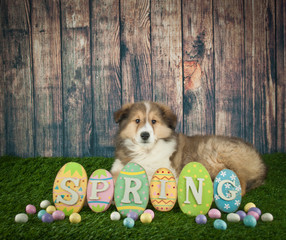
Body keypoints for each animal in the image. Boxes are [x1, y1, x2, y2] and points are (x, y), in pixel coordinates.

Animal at [110, 101, 268, 195]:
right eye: (137, 120)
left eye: (154, 121)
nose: (145, 135)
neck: (145, 151)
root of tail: (261, 165)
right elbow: (114, 173)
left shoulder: (165, 170)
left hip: (216, 154)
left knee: (240, 184)